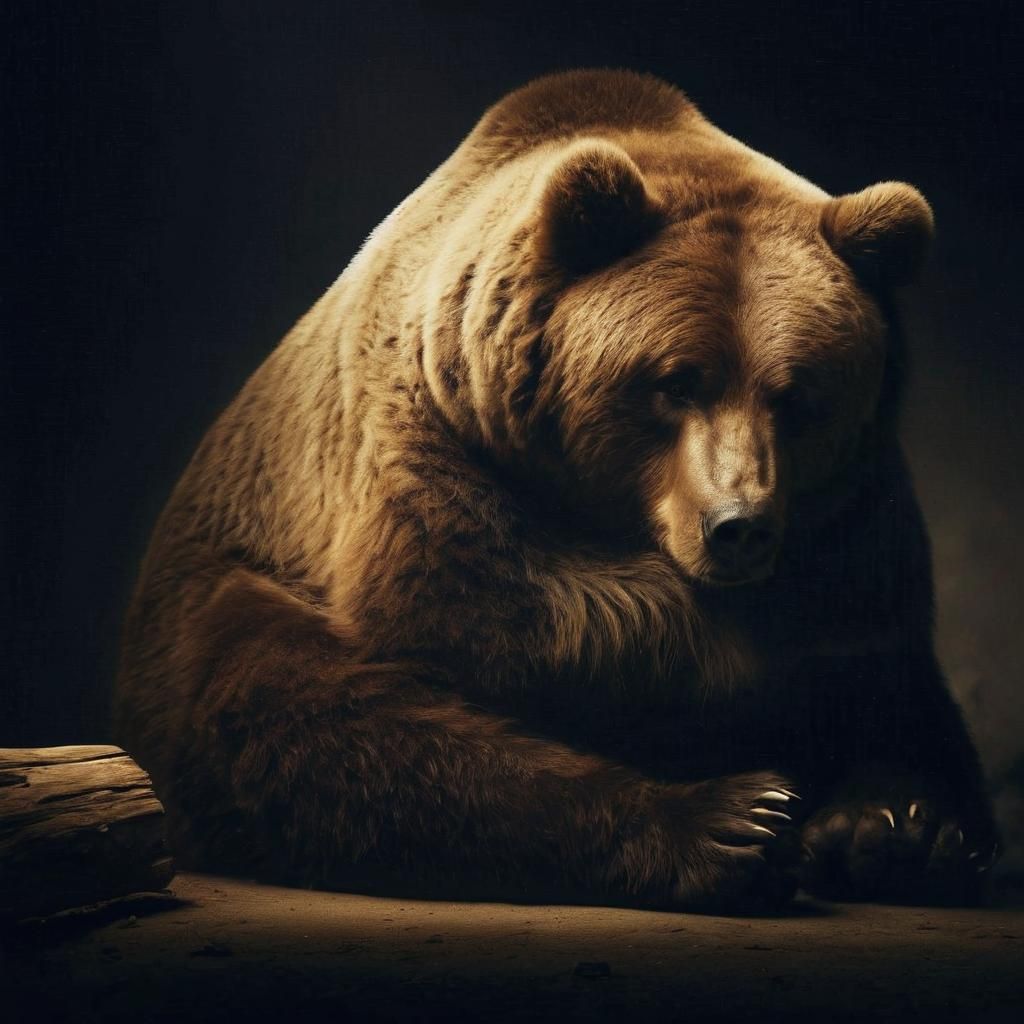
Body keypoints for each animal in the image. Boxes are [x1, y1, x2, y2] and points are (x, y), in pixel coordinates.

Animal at [115, 69, 998, 912]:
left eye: (798, 395)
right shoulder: (441, 479)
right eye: (677, 381)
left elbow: (884, 685)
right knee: (281, 699)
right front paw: (750, 800)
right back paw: (730, 823)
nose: (738, 525)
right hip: (225, 589)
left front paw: (894, 824)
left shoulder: (854, 534)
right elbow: (451, 672)